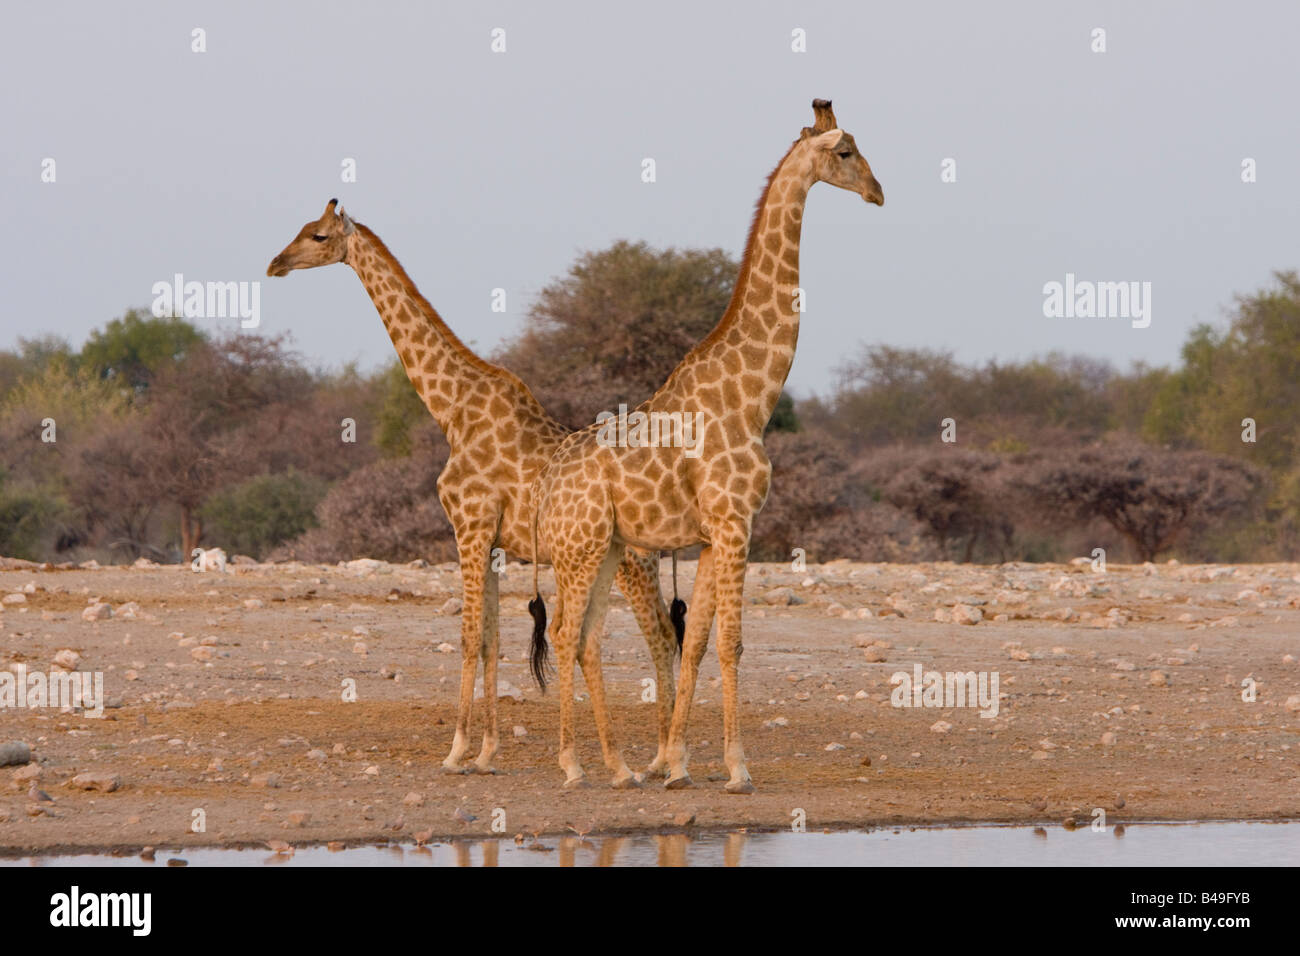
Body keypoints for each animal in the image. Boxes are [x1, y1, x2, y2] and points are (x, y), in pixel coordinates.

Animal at [266, 202, 682, 782]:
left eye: (318, 236)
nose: (275, 264)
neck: (452, 411)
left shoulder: (468, 527)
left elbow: (467, 637)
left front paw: (457, 750)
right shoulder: (491, 542)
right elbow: (490, 640)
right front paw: (486, 752)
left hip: (630, 563)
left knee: (660, 636)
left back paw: (660, 758)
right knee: (656, 635)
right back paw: (655, 758)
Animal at [528, 100, 883, 791]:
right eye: (846, 151)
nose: (879, 193)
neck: (751, 399)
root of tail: (547, 487)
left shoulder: (719, 532)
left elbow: (692, 641)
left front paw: (674, 762)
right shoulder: (736, 521)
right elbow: (730, 642)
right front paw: (737, 767)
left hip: (606, 548)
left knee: (586, 639)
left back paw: (620, 768)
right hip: (580, 550)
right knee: (562, 632)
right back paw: (573, 765)